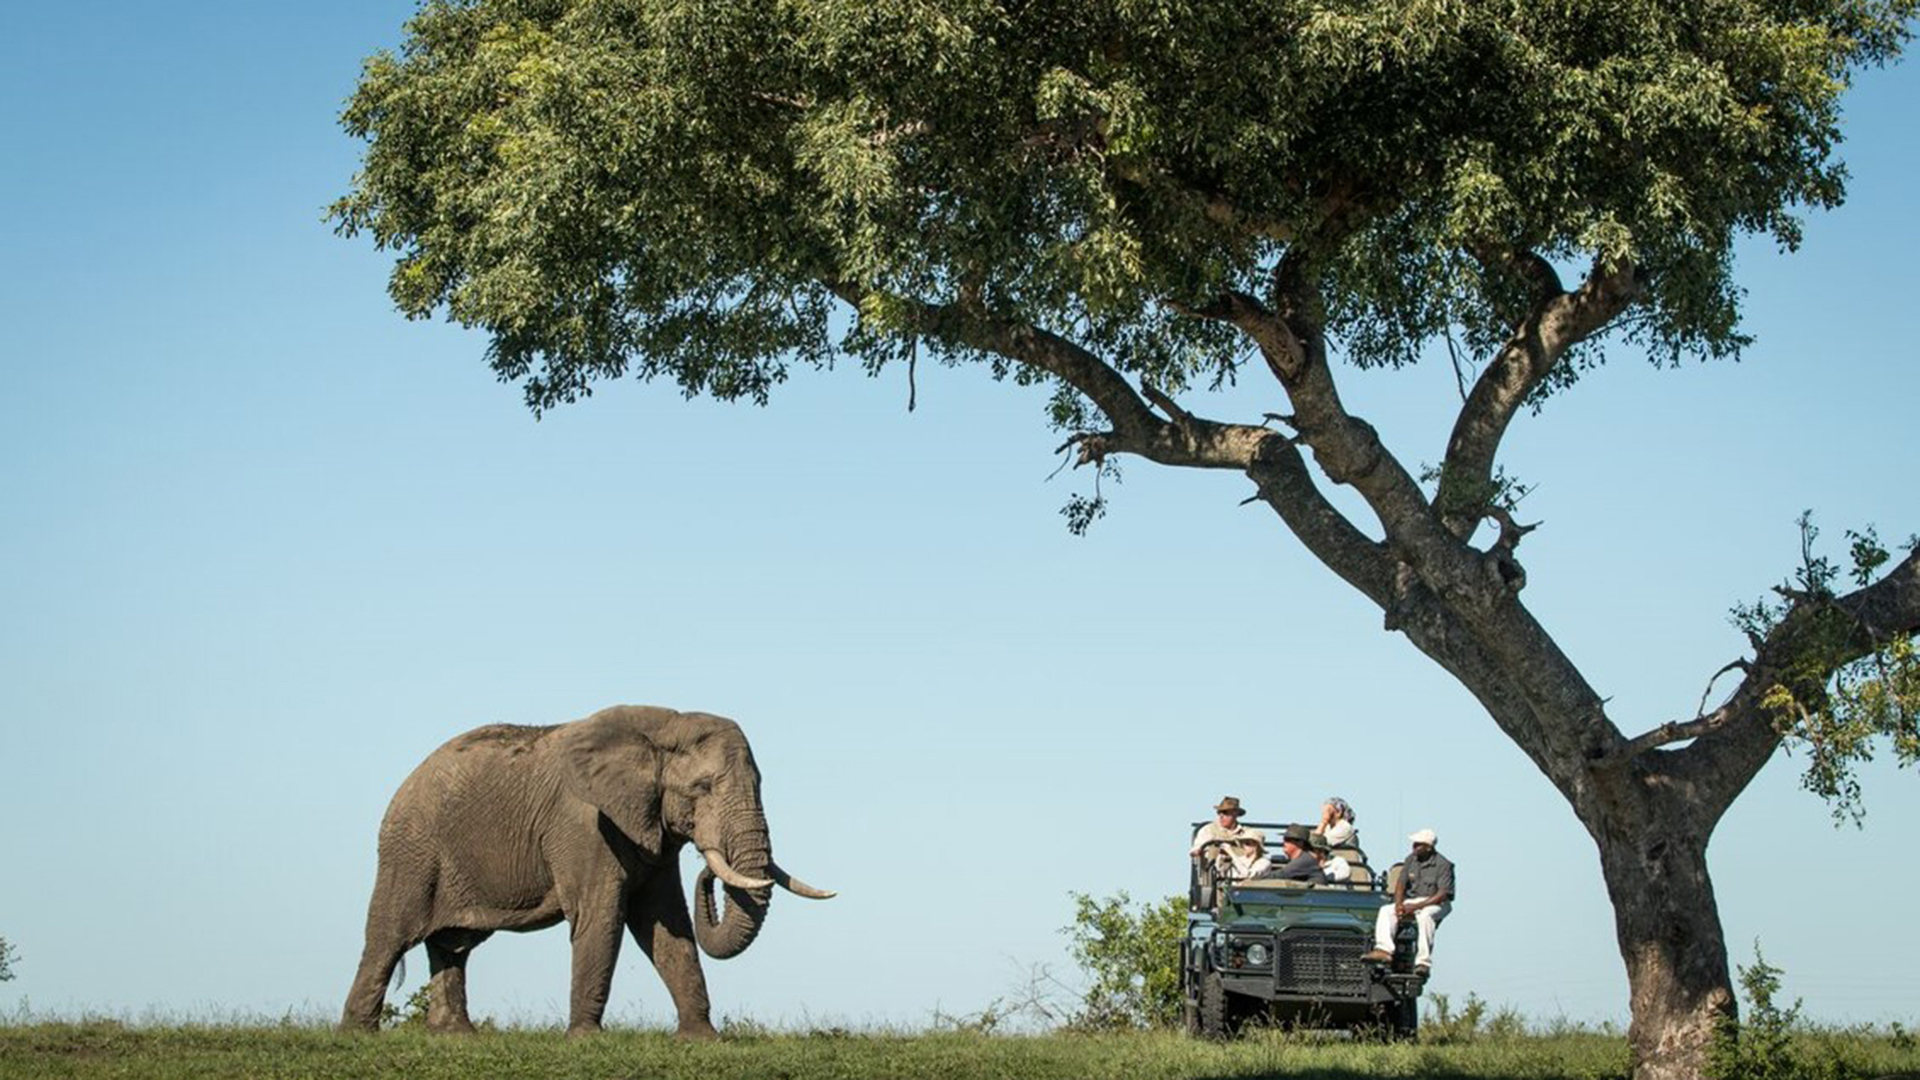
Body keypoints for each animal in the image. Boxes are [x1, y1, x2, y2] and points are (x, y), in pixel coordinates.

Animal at [339, 705, 833, 1036]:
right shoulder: (584, 824)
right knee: (389, 936)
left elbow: (665, 923)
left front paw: (702, 1040)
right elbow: (603, 916)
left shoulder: (649, 828)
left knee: (453, 945)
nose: (709, 870)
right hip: (412, 849)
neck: (662, 725)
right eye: (703, 787)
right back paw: (358, 1035)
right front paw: (585, 1040)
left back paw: (457, 1038)